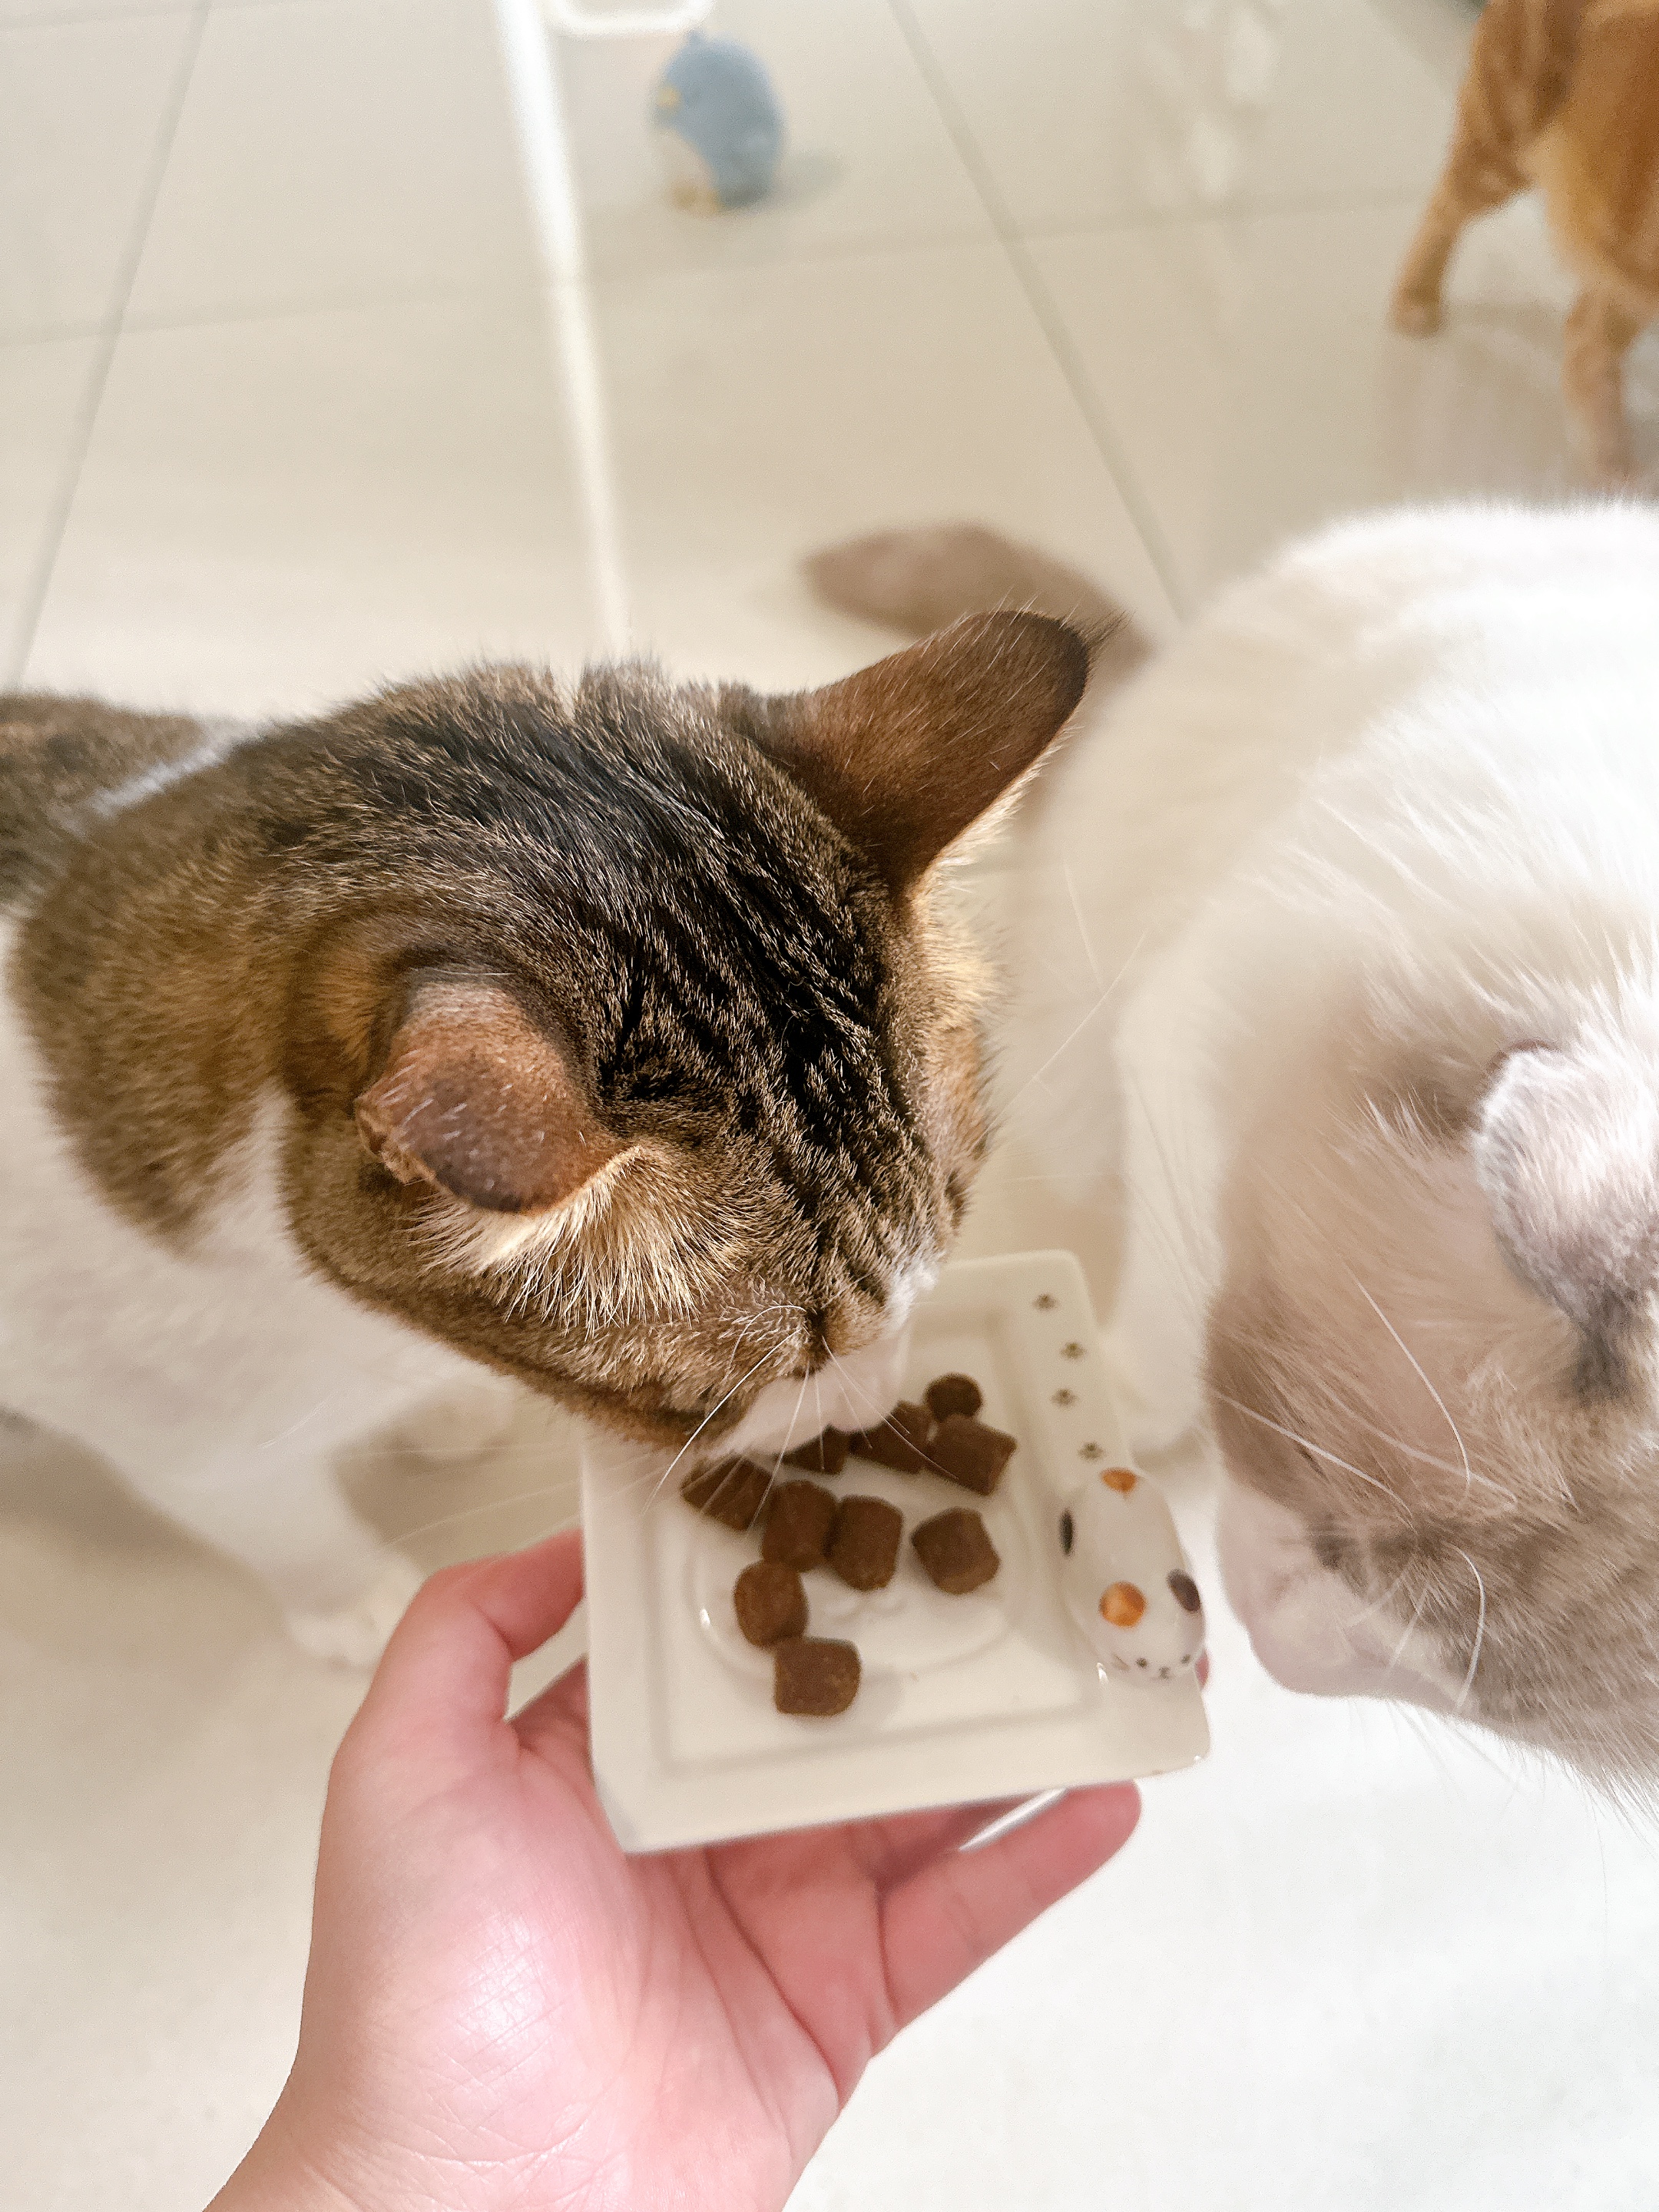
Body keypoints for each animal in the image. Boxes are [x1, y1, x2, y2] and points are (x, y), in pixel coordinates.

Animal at [0, 618, 1088, 1662]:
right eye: (707, 1397)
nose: (871, 1411)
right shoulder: (198, 1453)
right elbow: (286, 1526)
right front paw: (360, 1605)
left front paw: (444, 1413)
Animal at [810, 507, 1659, 1780]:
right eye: (1308, 1474)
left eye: (1490, 1703)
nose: (1274, 1647)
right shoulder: (1188, 1056)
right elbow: (1162, 1344)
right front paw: (1104, 1408)